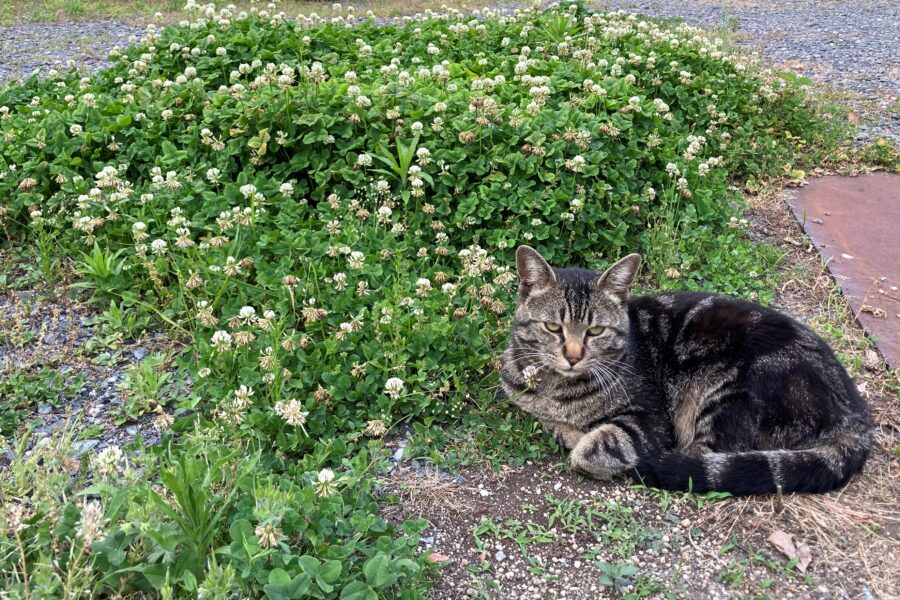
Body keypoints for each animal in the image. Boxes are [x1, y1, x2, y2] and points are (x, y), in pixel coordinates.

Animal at [500, 245, 873, 495]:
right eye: (553, 327)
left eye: (595, 331)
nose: (573, 356)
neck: (555, 389)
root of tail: (857, 415)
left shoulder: (650, 419)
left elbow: (594, 447)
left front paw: (579, 438)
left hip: (725, 391)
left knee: (705, 457)